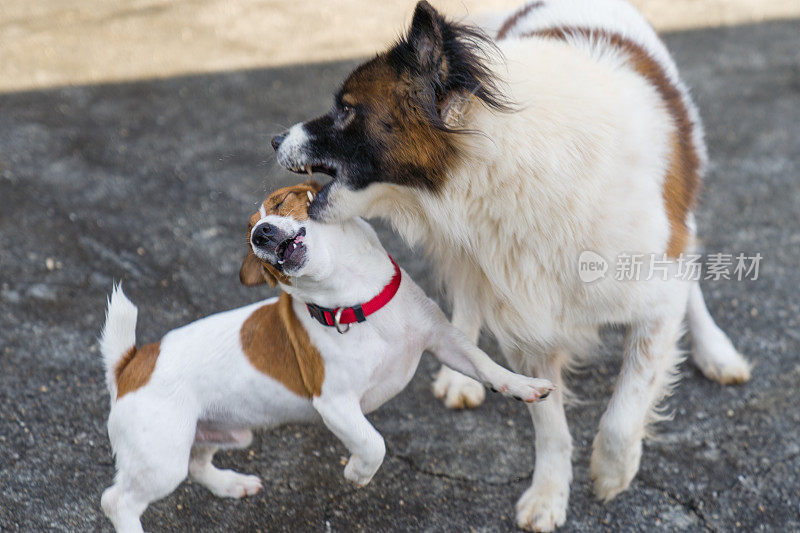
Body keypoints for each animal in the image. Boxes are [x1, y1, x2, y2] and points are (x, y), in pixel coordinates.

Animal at [97, 182, 552, 532]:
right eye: (249, 234)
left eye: (280, 202)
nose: (260, 234)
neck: (357, 303)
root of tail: (131, 364)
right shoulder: (335, 404)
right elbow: (374, 443)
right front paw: (357, 473)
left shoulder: (444, 341)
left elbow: (487, 366)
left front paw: (526, 386)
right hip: (161, 457)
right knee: (115, 501)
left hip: (221, 432)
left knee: (197, 464)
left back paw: (230, 484)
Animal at [272, 2, 752, 528]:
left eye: (346, 110)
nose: (274, 139)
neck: (505, 156)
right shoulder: (525, 314)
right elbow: (549, 425)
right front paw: (548, 494)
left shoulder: (655, 292)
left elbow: (624, 410)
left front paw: (613, 472)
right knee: (466, 296)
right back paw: (460, 375)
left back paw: (716, 351)